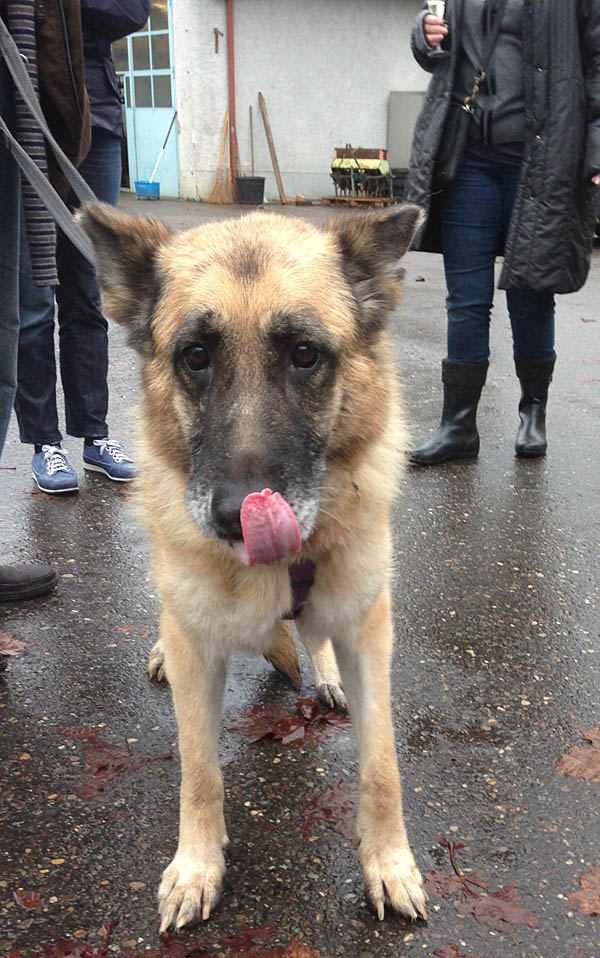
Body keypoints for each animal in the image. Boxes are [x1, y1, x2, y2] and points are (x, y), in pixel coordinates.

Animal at [80, 202, 428, 932]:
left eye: (304, 354)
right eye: (195, 356)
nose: (239, 516)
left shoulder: (369, 631)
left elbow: (381, 764)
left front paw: (388, 862)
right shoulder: (198, 657)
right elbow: (199, 771)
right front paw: (197, 866)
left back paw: (325, 674)